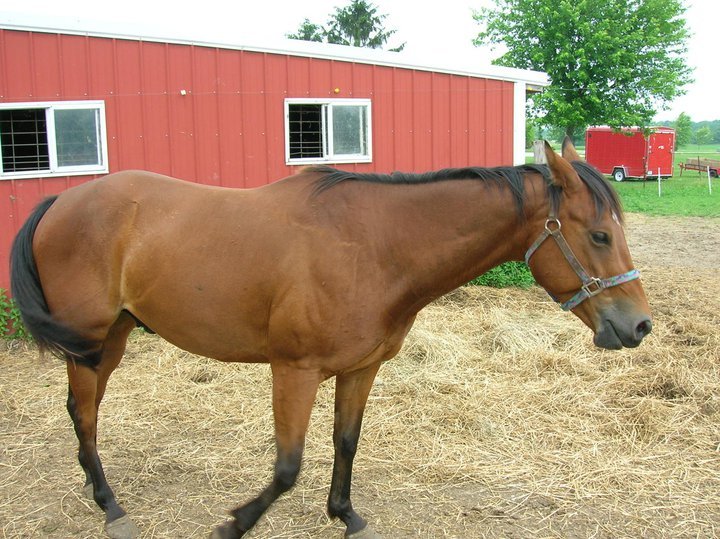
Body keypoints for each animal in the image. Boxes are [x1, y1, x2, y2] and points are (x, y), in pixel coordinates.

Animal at [10, 139, 652, 539]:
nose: (639, 325)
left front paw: (345, 514)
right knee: (84, 413)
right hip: (91, 341)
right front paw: (234, 524)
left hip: (110, 338)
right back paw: (110, 505)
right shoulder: (294, 371)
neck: (374, 245)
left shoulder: (360, 369)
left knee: (83, 412)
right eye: (599, 234)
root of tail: (62, 200)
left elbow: (346, 443)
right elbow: (287, 467)